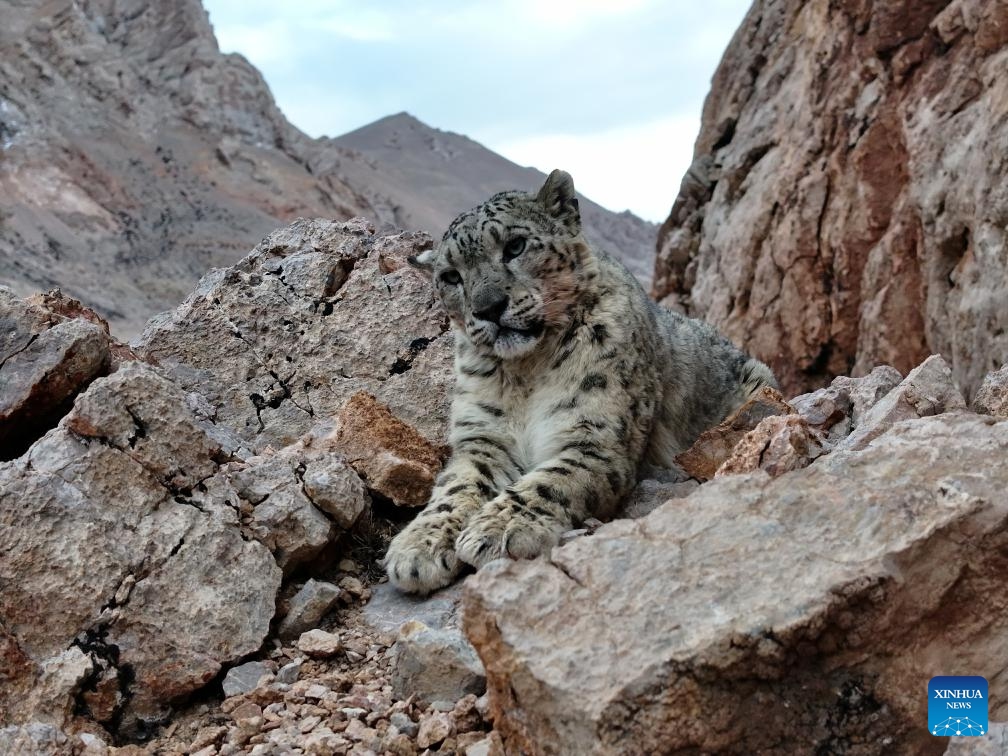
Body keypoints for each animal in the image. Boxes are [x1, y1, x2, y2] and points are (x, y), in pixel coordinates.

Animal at [384, 169, 777, 594]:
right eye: (451, 276)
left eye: (515, 245)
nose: (488, 307)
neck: (527, 372)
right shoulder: (483, 438)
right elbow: (456, 487)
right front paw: (417, 547)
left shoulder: (597, 438)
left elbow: (550, 481)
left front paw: (498, 528)